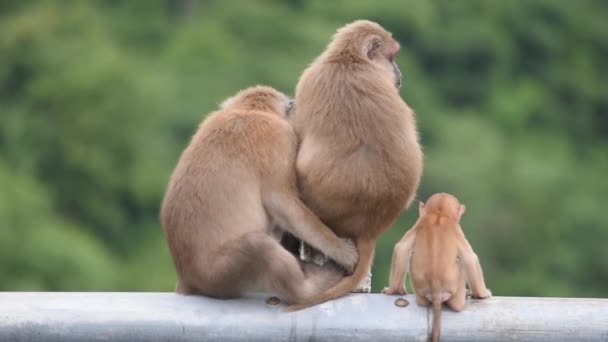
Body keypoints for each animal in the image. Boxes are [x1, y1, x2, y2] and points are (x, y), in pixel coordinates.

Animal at [162, 85, 360, 304]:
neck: (252, 110)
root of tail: (187, 276)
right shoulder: (281, 139)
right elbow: (282, 204)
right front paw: (343, 252)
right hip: (219, 275)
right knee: (258, 245)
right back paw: (309, 289)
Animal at [382, 192, 492, 342]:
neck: (439, 214)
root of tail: (436, 289)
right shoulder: (455, 228)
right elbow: (470, 258)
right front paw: (483, 294)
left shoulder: (420, 222)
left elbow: (402, 248)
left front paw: (393, 290)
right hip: (455, 285)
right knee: (461, 265)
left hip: (421, 292)